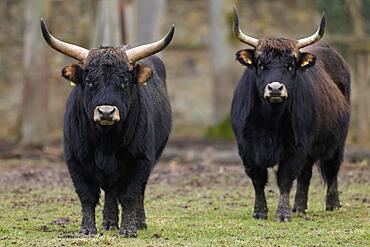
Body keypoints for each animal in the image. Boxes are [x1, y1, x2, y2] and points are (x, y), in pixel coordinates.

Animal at [41, 18, 174, 236]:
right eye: (89, 81)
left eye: (124, 82)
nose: (105, 112)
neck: (106, 143)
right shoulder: (74, 160)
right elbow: (87, 195)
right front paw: (87, 229)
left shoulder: (141, 159)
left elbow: (130, 194)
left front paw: (128, 229)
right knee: (111, 190)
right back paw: (109, 222)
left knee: (136, 191)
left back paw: (138, 221)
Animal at [231, 6, 350, 221]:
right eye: (261, 64)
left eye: (290, 65)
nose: (275, 88)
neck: (269, 123)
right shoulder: (246, 148)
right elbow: (258, 179)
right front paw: (259, 211)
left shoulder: (296, 147)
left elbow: (285, 179)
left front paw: (282, 213)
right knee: (306, 175)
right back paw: (299, 206)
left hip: (337, 142)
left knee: (332, 170)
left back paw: (332, 204)